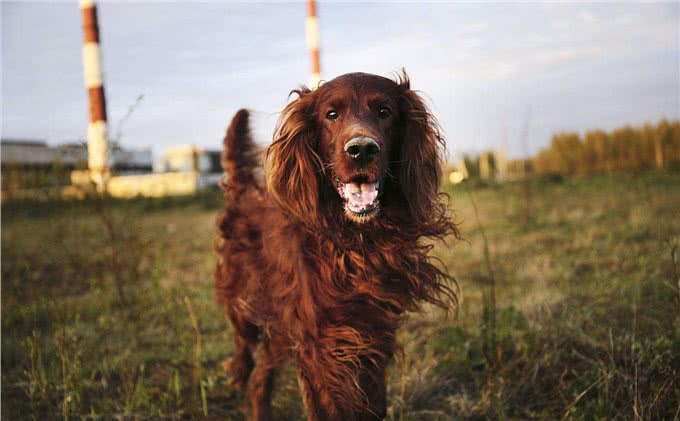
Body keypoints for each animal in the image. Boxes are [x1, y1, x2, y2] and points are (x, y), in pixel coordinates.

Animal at [214, 70, 456, 418]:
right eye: (331, 115)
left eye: (384, 111)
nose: (362, 149)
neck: (356, 243)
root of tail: (244, 190)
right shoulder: (321, 344)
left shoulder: (373, 334)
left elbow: (373, 405)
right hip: (242, 301)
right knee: (244, 348)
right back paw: (238, 371)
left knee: (262, 375)